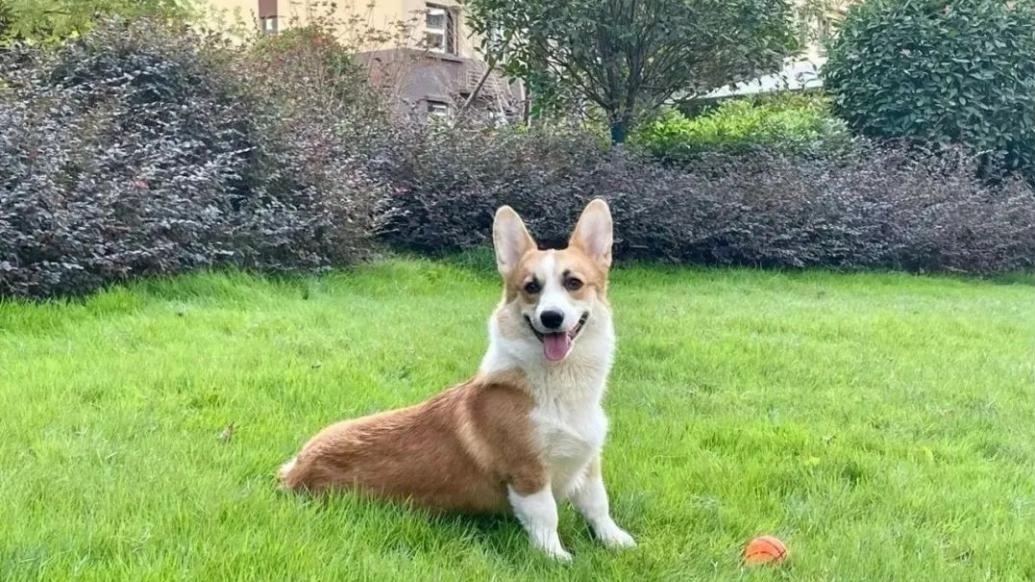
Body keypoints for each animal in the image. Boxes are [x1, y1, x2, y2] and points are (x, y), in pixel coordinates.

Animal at [278, 199, 634, 560]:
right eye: (531, 287)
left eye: (573, 283)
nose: (551, 318)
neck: (559, 385)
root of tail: (294, 471)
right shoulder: (528, 473)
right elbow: (546, 516)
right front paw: (555, 556)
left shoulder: (588, 464)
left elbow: (597, 506)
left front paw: (615, 540)